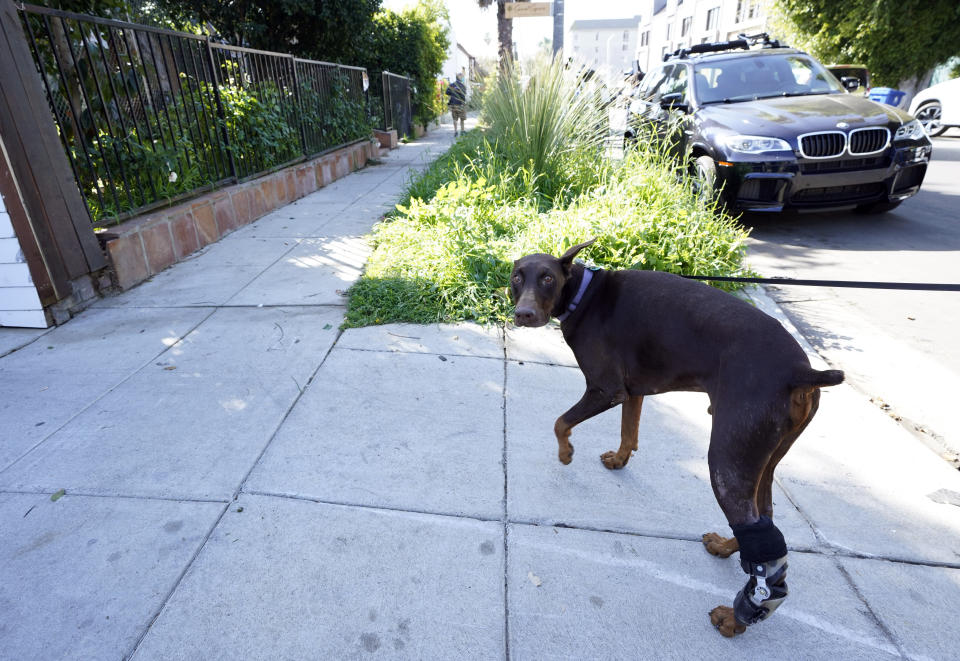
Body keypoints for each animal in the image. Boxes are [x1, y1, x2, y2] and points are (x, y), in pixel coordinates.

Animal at [510, 237, 840, 636]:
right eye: (516, 276)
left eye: (547, 277)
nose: (524, 314)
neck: (585, 293)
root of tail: (801, 371)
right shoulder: (632, 390)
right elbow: (629, 430)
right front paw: (619, 459)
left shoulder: (606, 389)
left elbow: (560, 422)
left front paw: (566, 453)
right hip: (766, 455)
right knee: (764, 516)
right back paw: (726, 549)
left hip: (727, 460)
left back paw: (737, 617)